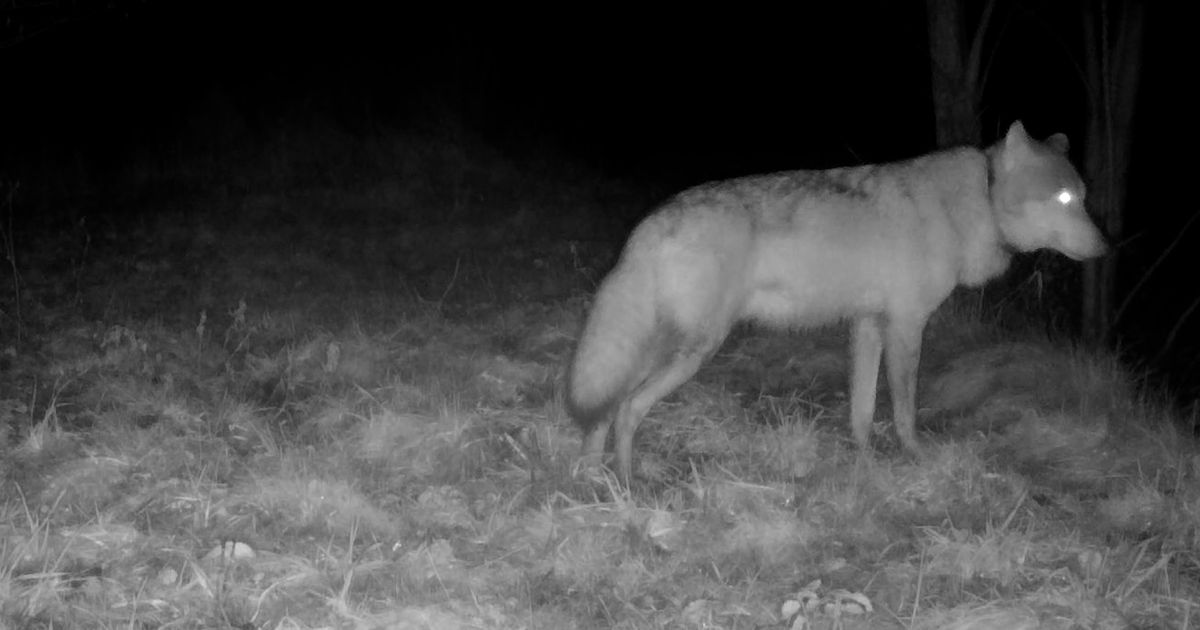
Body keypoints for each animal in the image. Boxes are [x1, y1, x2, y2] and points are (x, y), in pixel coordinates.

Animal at [566, 121, 1107, 484]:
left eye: (1083, 196)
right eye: (1063, 199)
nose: (1106, 247)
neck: (976, 200)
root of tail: (652, 221)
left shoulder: (866, 325)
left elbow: (862, 410)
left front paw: (863, 461)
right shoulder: (906, 326)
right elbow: (904, 410)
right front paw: (915, 458)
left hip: (660, 349)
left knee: (604, 410)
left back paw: (591, 480)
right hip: (692, 351)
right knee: (626, 410)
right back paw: (629, 485)